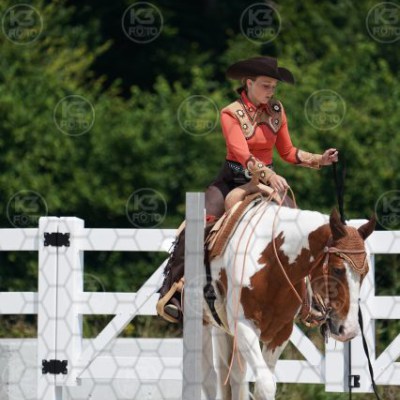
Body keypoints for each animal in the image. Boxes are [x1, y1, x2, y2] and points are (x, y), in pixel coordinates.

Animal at [201, 199, 376, 400]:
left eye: (365, 272)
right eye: (337, 269)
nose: (349, 330)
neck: (271, 263)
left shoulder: (282, 331)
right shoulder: (244, 325)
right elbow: (266, 384)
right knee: (209, 380)